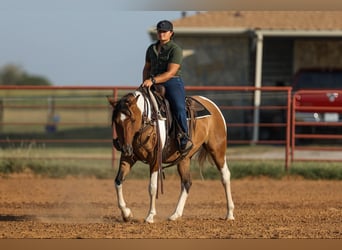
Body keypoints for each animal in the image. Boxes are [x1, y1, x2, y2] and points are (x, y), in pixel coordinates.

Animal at [108, 87, 234, 223]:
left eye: (132, 120)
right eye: (116, 122)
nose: (125, 148)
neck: (148, 122)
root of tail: (212, 105)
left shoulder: (155, 160)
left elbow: (152, 187)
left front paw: (150, 216)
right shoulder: (127, 158)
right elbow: (118, 181)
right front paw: (126, 214)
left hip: (217, 150)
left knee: (225, 176)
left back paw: (230, 214)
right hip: (184, 159)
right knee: (186, 183)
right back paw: (175, 214)